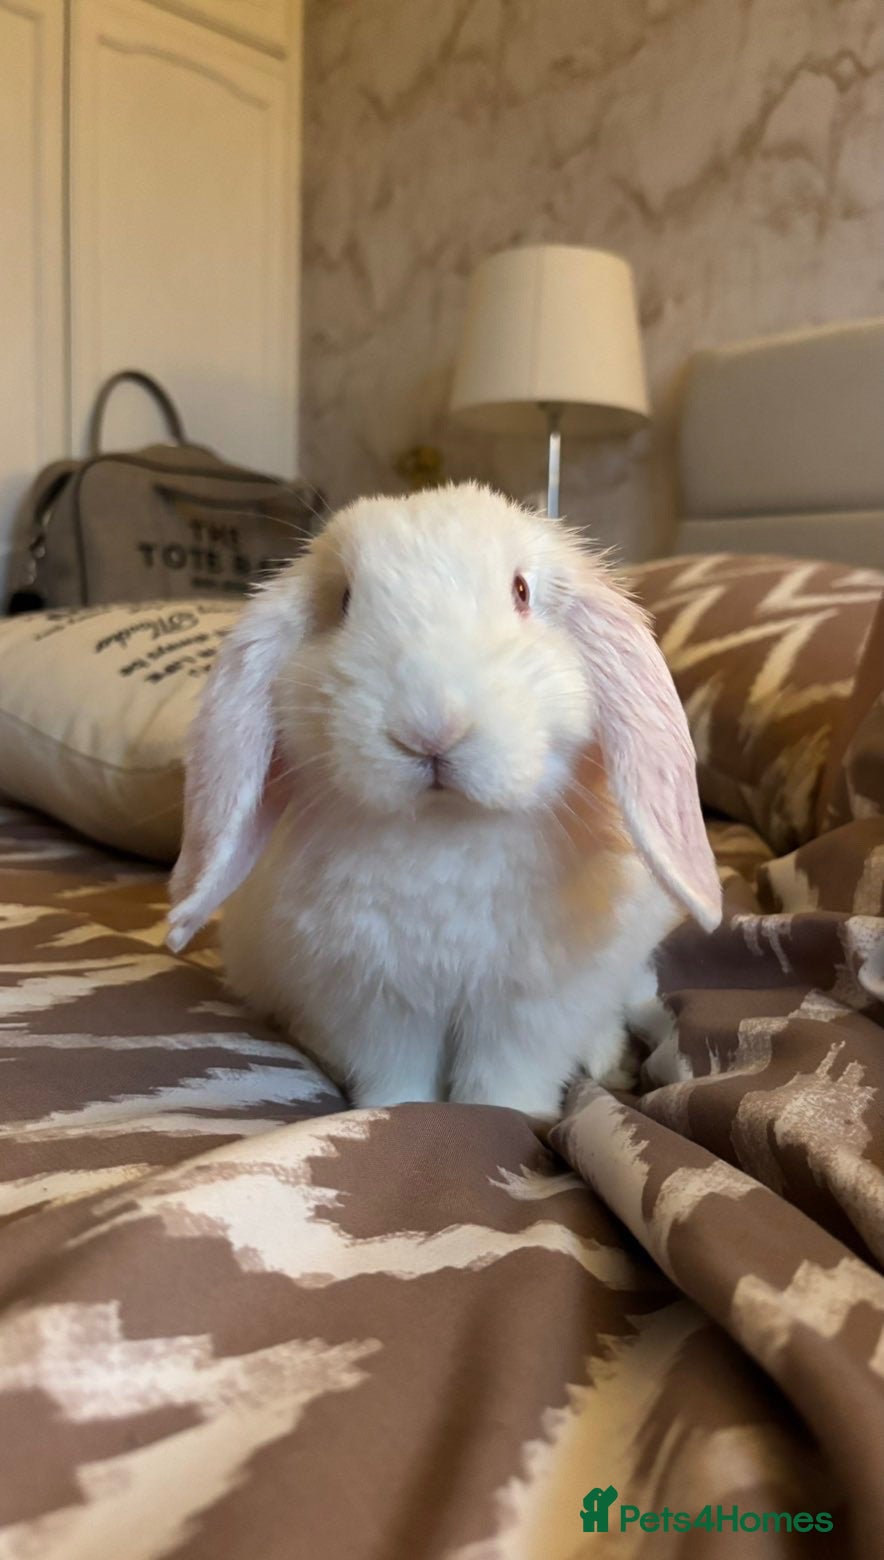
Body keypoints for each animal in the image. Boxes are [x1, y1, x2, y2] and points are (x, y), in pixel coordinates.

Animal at [168, 482, 721, 1117]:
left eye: (521, 591)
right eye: (344, 601)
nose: (429, 727)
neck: (446, 827)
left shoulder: (529, 1009)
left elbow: (505, 1080)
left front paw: (510, 1117)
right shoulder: (375, 1005)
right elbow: (400, 1077)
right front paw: (395, 1113)